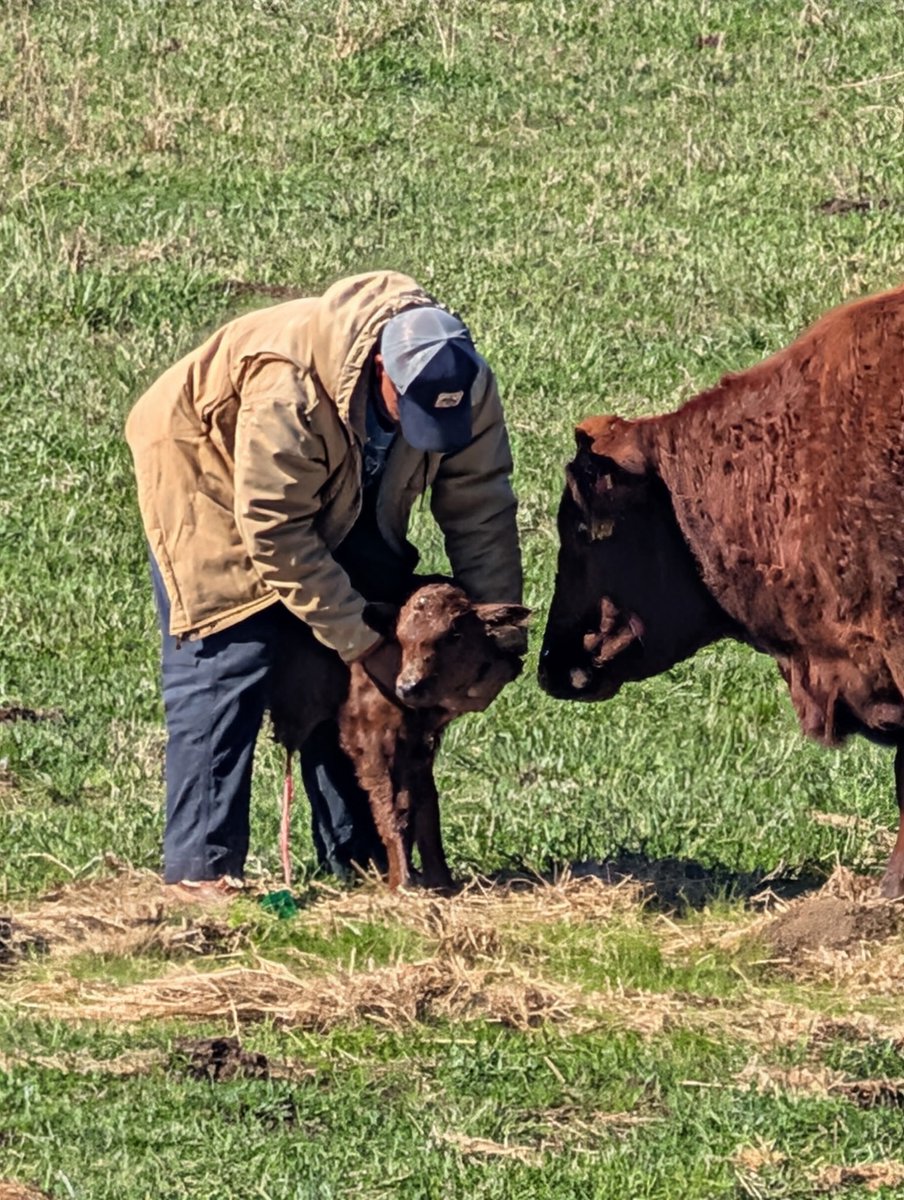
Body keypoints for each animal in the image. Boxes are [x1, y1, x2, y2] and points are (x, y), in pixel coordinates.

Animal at [271, 582, 529, 890]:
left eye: (455, 635)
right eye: (400, 637)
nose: (408, 686)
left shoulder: (418, 746)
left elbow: (424, 807)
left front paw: (441, 881)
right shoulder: (371, 741)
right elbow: (390, 809)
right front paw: (402, 882)